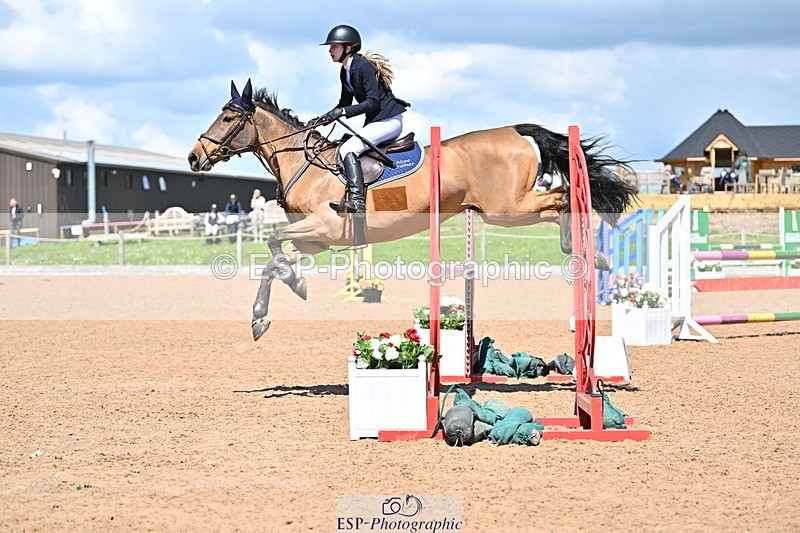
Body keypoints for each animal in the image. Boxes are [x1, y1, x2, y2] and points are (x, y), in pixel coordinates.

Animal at [188, 79, 638, 341]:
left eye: (227, 117)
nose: (194, 158)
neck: (305, 162)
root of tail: (516, 130)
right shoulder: (317, 240)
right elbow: (275, 259)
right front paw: (268, 310)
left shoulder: (326, 227)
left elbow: (272, 241)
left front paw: (287, 291)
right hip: (505, 209)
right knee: (561, 198)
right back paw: (588, 255)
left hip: (506, 209)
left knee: (563, 196)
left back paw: (588, 255)